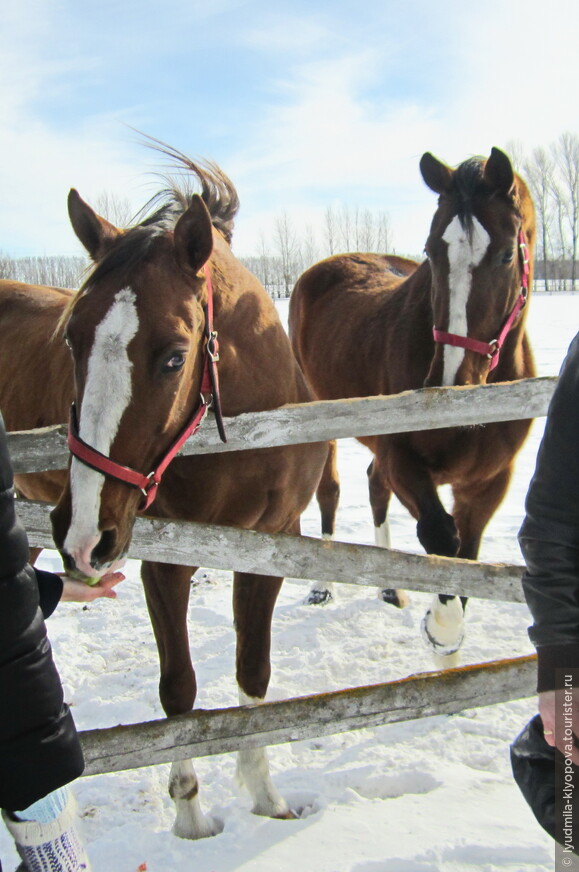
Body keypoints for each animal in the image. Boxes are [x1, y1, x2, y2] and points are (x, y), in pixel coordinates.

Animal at [0, 146, 326, 840]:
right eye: (71, 339)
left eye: (175, 356)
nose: (84, 536)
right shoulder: (165, 562)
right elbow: (178, 688)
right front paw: (192, 816)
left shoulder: (272, 547)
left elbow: (253, 671)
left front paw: (265, 797)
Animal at [292, 148, 536, 668]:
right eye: (430, 250)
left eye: (508, 254)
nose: (448, 385)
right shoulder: (403, 460)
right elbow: (441, 536)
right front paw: (442, 632)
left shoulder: (489, 481)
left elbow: (467, 554)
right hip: (315, 415)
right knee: (330, 492)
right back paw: (322, 584)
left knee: (373, 486)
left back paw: (388, 587)